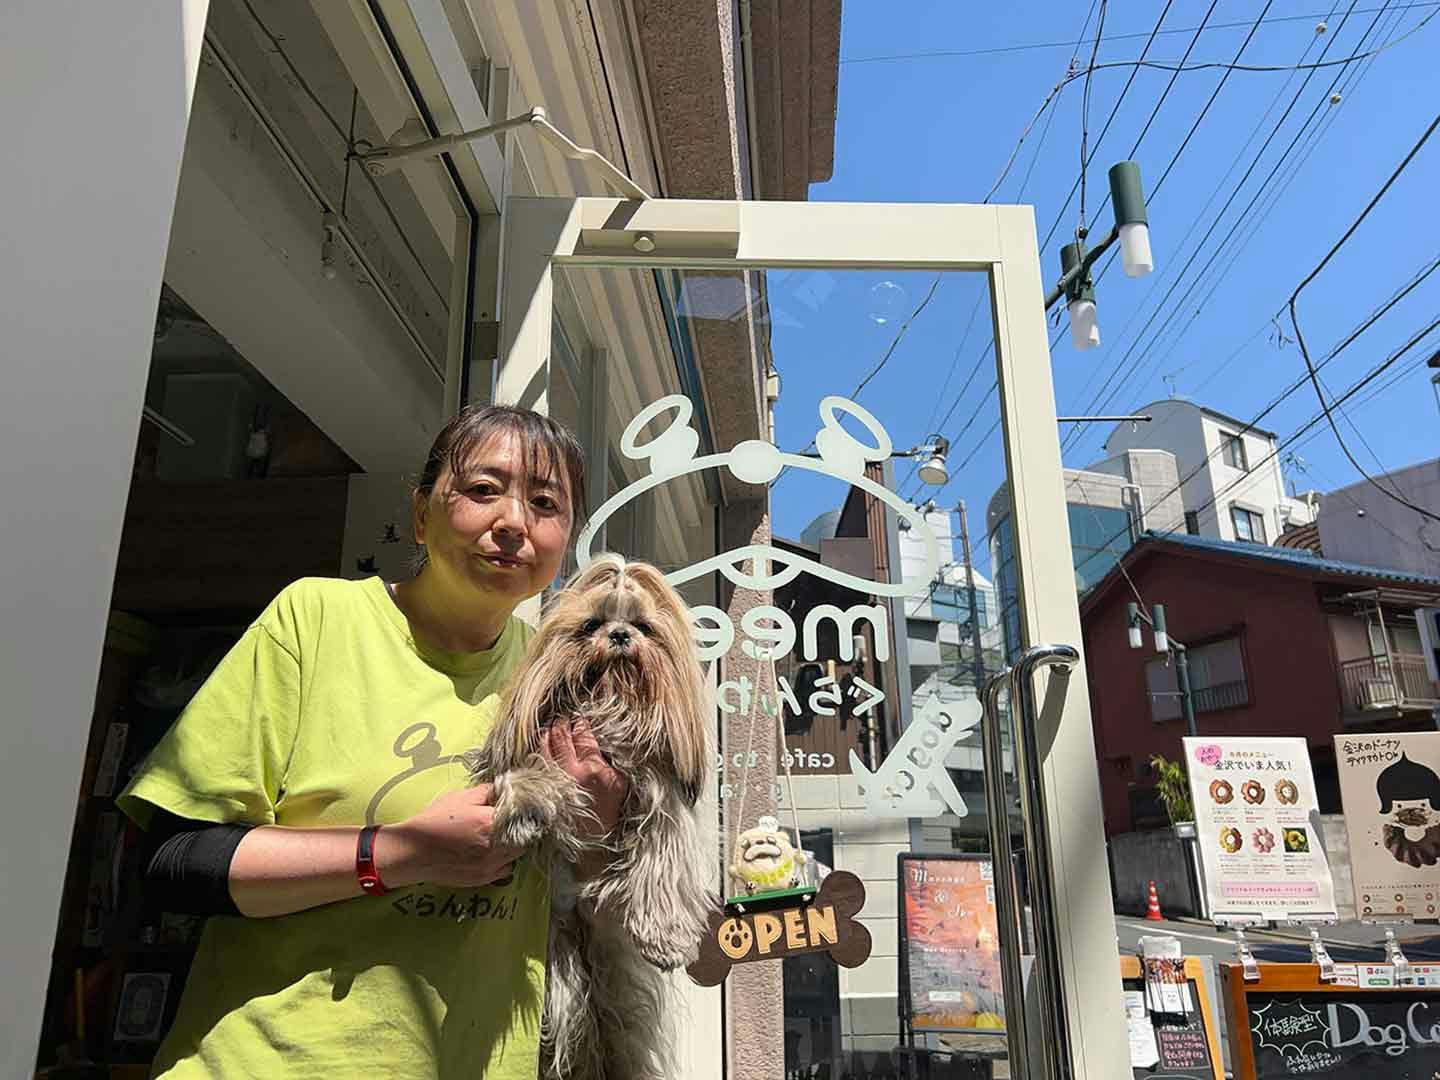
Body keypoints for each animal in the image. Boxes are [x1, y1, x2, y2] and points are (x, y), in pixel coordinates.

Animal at [469, 558, 717, 1080]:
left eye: (644, 627)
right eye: (591, 626)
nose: (620, 635)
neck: (608, 705)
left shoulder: (661, 795)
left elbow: (662, 858)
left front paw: (666, 937)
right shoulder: (539, 742)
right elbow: (525, 771)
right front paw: (525, 808)